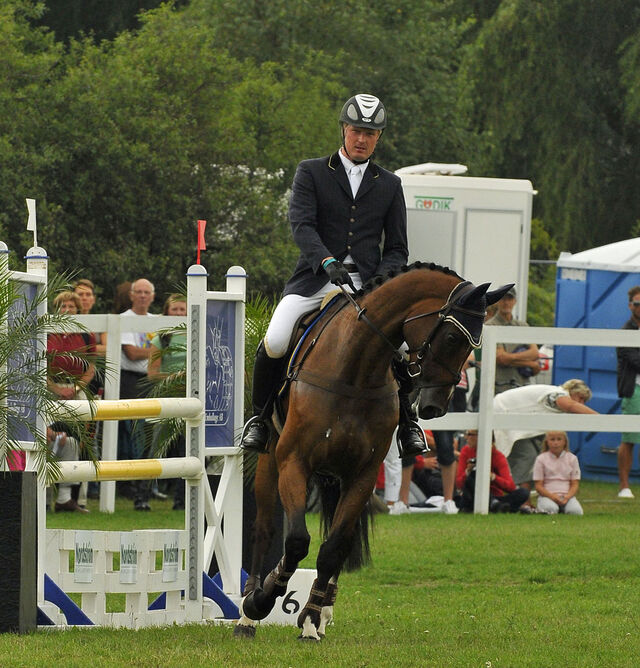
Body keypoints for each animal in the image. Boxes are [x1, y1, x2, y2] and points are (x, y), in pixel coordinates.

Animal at [234, 262, 511, 640]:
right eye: (453, 338)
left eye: (475, 344)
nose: (436, 407)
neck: (355, 370)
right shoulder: (294, 462)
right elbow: (296, 541)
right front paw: (262, 601)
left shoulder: (362, 475)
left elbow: (333, 547)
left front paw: (311, 620)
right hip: (269, 460)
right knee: (264, 527)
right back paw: (246, 615)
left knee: (340, 539)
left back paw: (322, 612)